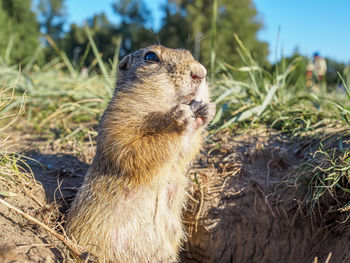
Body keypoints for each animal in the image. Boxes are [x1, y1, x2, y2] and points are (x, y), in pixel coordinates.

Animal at [64, 46, 215, 263]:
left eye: (189, 53)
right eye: (151, 56)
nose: (200, 72)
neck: (162, 110)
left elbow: (185, 152)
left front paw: (206, 110)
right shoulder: (118, 117)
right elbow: (133, 149)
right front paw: (180, 120)